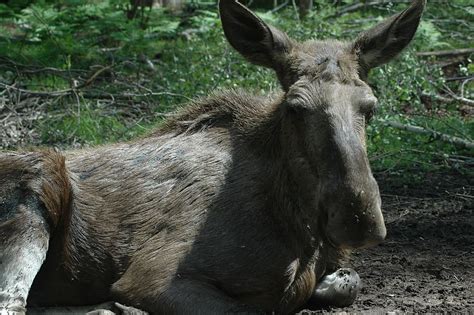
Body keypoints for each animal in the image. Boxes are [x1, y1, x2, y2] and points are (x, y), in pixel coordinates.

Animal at [0, 1, 426, 314]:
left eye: (370, 107)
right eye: (295, 108)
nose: (358, 218)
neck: (298, 223)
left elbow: (348, 282)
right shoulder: (152, 276)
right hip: (37, 179)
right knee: (13, 303)